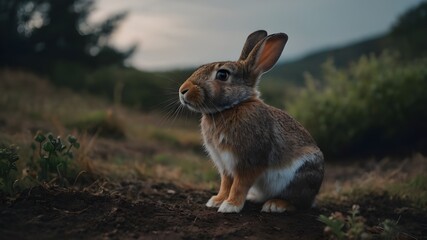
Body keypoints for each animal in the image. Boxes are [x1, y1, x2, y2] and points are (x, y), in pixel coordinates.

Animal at [178, 30, 324, 214]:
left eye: (222, 75)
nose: (183, 90)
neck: (233, 106)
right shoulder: (225, 166)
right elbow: (225, 184)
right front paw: (216, 201)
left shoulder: (249, 162)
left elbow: (239, 185)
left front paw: (230, 206)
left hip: (300, 177)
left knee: (298, 203)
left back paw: (275, 205)